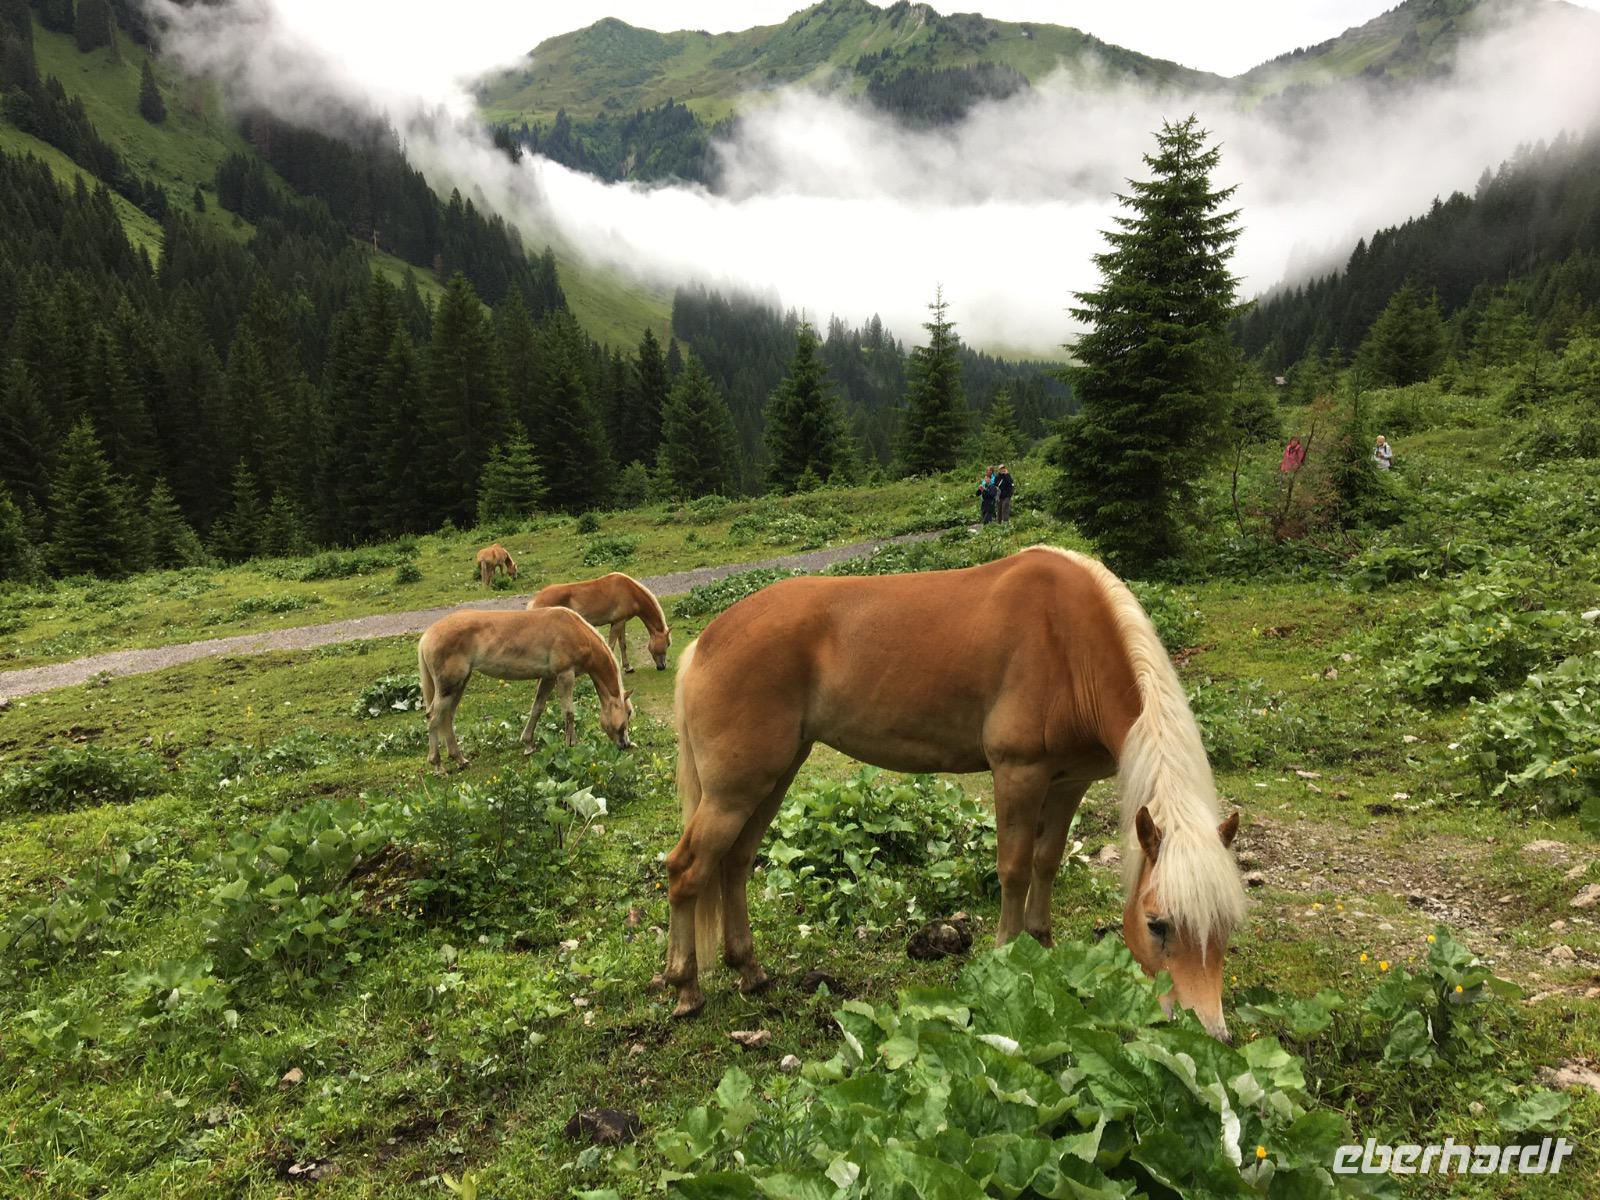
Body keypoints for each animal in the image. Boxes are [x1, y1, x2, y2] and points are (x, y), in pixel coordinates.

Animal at [416, 607, 634, 774]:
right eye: (629, 713)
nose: (625, 744)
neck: (574, 631)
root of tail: (427, 635)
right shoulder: (565, 675)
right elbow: (569, 713)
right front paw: (570, 744)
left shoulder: (548, 677)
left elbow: (537, 708)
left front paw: (528, 744)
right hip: (449, 687)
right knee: (433, 718)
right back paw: (438, 765)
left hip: (459, 684)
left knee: (447, 717)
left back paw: (460, 759)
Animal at [527, 572, 671, 672]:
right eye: (668, 644)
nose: (662, 667)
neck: (630, 591)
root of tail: (535, 600)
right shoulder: (618, 623)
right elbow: (611, 646)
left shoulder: (621, 622)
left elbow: (623, 645)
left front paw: (628, 667)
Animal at [664, 546, 1246, 1039]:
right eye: (1157, 924)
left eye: (1225, 927)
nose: (1208, 1032)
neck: (1069, 643)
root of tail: (706, 641)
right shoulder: (1018, 773)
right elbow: (1014, 868)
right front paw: (1008, 954)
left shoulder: (1068, 782)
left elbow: (1047, 861)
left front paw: (1042, 944)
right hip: (735, 790)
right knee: (687, 869)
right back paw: (686, 988)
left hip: (774, 776)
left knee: (734, 862)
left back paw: (750, 971)